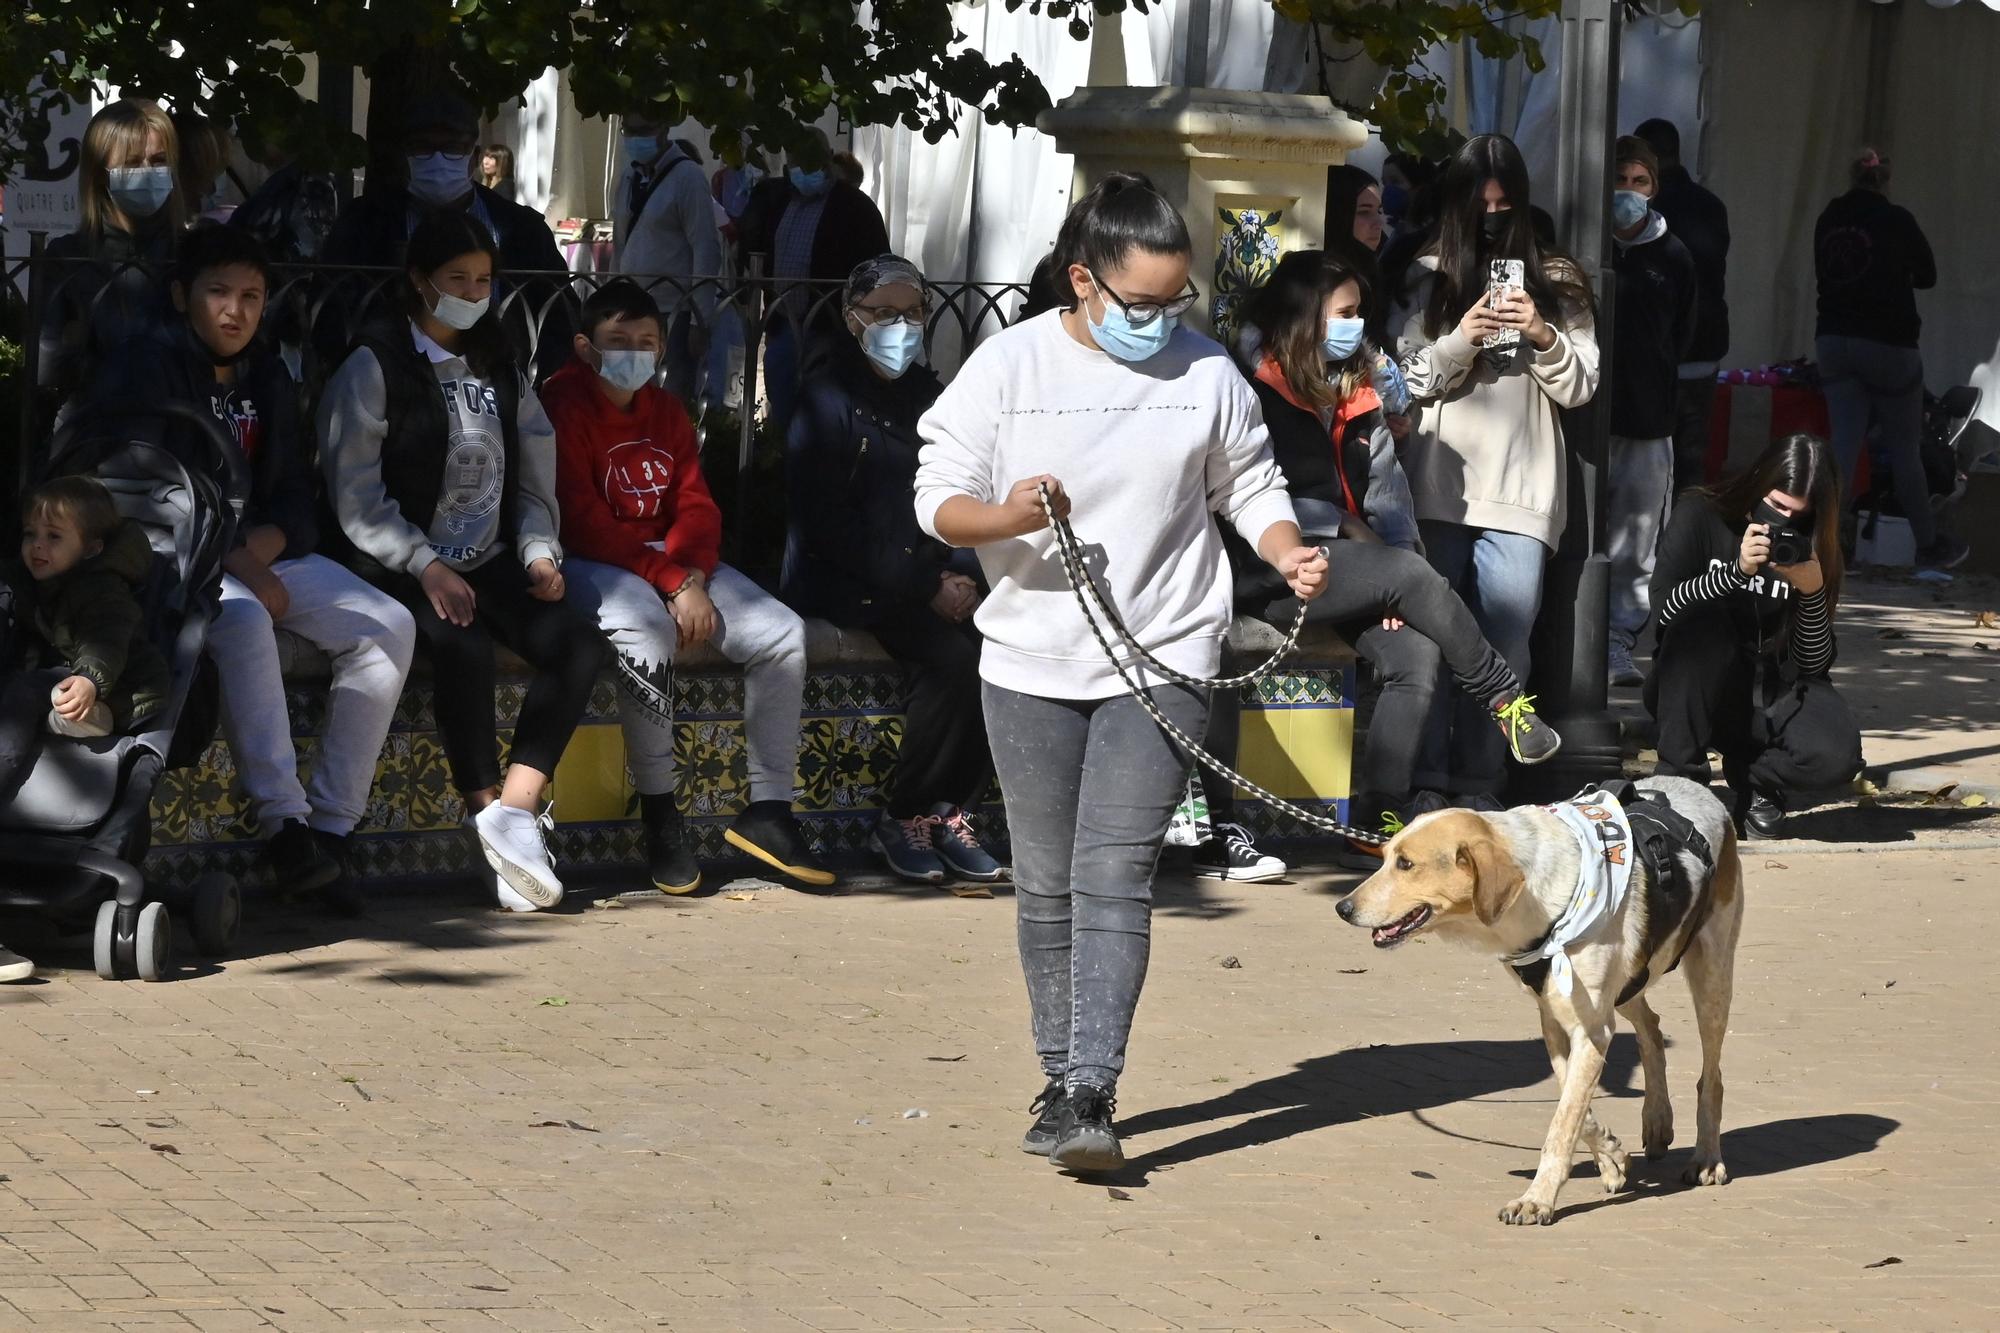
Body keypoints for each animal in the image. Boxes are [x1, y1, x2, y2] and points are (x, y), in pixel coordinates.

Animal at [1336, 772, 1744, 1216]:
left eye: (1406, 864)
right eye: (1384, 856)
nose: (1342, 908)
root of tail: (1697, 786)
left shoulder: (1591, 1029)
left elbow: (1563, 1122)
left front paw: (1538, 1199)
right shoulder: (1556, 1019)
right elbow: (1573, 1102)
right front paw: (1611, 1157)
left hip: (1711, 976)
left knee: (1712, 1077)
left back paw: (1707, 1158)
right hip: (1630, 981)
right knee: (1651, 1028)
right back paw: (1656, 1121)